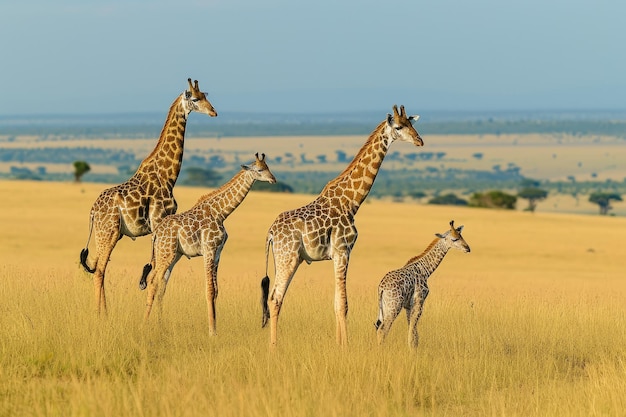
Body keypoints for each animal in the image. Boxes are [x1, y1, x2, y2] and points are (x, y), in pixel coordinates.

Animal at [78, 78, 217, 314]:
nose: (214, 112)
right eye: (196, 99)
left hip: (107, 234)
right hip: (109, 232)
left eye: (206, 96)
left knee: (98, 268)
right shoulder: (160, 220)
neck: (167, 175)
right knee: (99, 270)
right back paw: (101, 315)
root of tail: (92, 212)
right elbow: (158, 275)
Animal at [139, 153, 276, 334]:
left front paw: (215, 327)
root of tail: (155, 234)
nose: (273, 179)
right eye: (260, 170)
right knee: (153, 282)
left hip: (173, 255)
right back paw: (144, 325)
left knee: (161, 285)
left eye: (268, 167)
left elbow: (216, 290)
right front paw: (212, 332)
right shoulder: (209, 249)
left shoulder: (218, 253)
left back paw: (160, 325)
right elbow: (209, 290)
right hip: (166, 253)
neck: (221, 213)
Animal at [258, 105, 424, 346]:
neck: (351, 202)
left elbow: (336, 303)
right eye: (399, 127)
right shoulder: (343, 250)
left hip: (288, 259)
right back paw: (274, 347)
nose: (420, 141)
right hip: (287, 258)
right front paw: (345, 346)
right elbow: (343, 305)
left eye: (412, 124)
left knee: (273, 297)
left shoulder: (335, 255)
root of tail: (270, 233)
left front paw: (338, 344)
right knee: (275, 298)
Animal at [372, 219, 470, 350]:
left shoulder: (408, 306)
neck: (426, 269)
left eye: (461, 235)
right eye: (454, 239)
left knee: (379, 326)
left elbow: (412, 329)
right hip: (394, 307)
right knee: (382, 329)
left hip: (385, 308)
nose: (468, 248)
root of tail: (381, 288)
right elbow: (413, 331)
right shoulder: (419, 301)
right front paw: (413, 351)